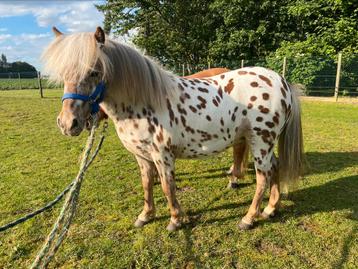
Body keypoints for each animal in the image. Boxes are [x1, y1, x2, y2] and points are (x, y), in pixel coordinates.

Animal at [42, 26, 304, 229]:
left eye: (95, 72)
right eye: (63, 74)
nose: (68, 123)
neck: (142, 102)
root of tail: (280, 81)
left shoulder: (162, 155)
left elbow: (168, 187)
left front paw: (176, 220)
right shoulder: (142, 156)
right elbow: (147, 184)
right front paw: (146, 216)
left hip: (261, 142)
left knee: (263, 177)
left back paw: (249, 218)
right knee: (275, 167)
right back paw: (271, 209)